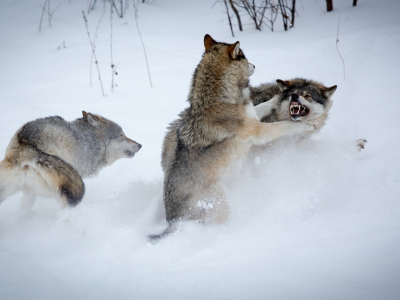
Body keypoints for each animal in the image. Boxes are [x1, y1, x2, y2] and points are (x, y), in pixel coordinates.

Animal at [0, 110, 142, 211]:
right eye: (121, 135)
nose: (140, 145)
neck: (92, 141)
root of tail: (25, 145)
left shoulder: (30, 193)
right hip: (67, 193)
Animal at [150, 34, 316, 241]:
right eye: (244, 56)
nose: (254, 65)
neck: (219, 98)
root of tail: (173, 220)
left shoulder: (253, 116)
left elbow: (265, 104)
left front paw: (278, 97)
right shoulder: (259, 132)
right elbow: (286, 125)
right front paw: (306, 125)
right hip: (222, 202)